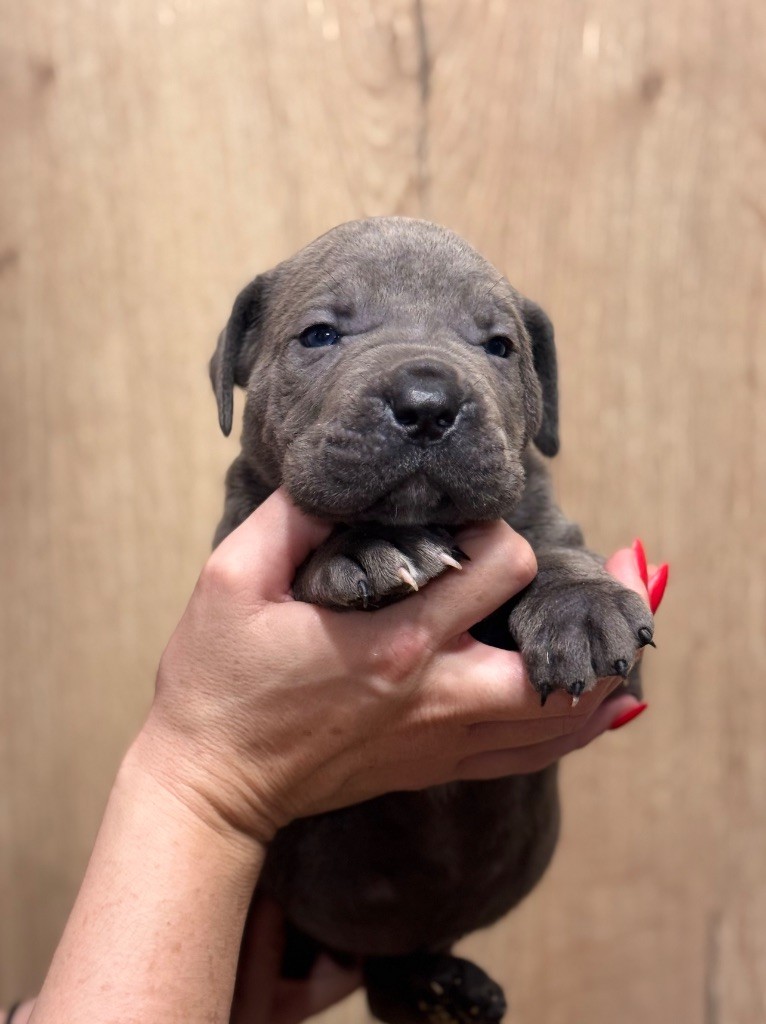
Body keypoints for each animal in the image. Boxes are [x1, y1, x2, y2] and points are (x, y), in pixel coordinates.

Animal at [210, 220, 651, 1024]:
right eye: (320, 335)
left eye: (500, 346)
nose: (425, 401)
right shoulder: (240, 526)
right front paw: (366, 547)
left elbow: (549, 546)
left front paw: (580, 605)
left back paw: (444, 990)